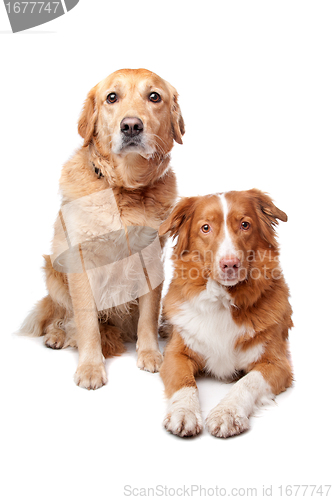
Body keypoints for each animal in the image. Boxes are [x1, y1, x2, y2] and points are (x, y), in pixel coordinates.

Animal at [20, 68, 184, 390]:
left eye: (154, 96)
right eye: (112, 97)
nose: (131, 126)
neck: (124, 189)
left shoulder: (150, 260)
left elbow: (148, 315)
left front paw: (150, 354)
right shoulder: (82, 263)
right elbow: (86, 321)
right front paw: (90, 367)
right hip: (53, 272)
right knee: (59, 314)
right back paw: (56, 335)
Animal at [160, 188, 292, 438]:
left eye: (245, 224)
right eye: (205, 228)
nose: (230, 264)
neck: (222, 301)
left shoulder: (277, 364)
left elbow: (247, 383)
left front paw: (227, 413)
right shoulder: (176, 353)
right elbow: (184, 383)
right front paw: (185, 412)